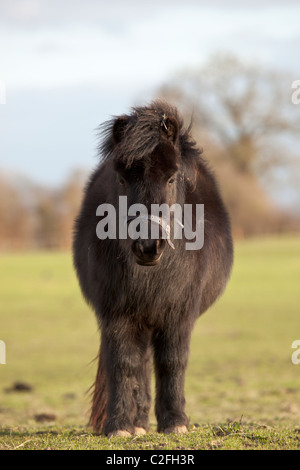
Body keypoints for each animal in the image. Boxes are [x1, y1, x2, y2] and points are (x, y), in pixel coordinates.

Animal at [72, 99, 232, 436]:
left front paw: (175, 422)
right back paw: (139, 423)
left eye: (171, 179)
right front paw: (119, 425)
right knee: (140, 364)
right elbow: (123, 363)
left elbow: (172, 362)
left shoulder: (179, 314)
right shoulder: (116, 313)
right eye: (122, 179)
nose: (147, 245)